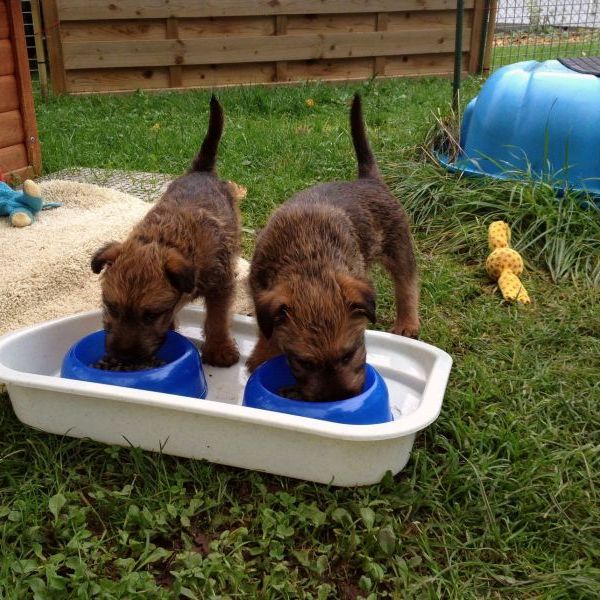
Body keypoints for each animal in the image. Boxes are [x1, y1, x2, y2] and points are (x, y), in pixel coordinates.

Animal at [91, 96, 242, 368]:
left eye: (151, 315)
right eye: (111, 307)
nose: (123, 357)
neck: (165, 239)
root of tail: (201, 170)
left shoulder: (222, 284)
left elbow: (217, 318)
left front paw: (219, 349)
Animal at [246, 94, 419, 401]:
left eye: (349, 353)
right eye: (304, 362)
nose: (336, 398)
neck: (308, 258)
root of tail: (368, 180)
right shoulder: (259, 292)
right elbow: (266, 329)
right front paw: (262, 355)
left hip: (399, 247)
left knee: (407, 285)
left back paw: (407, 323)